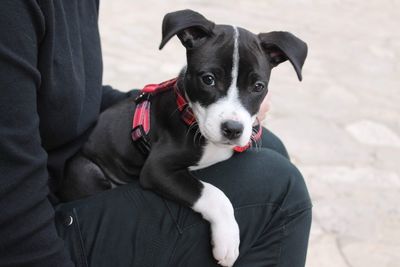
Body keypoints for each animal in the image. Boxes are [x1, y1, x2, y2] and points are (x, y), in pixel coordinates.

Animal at [61, 9, 308, 266]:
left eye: (258, 86)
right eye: (208, 79)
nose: (233, 129)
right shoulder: (157, 169)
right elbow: (213, 193)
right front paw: (228, 240)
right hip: (85, 170)